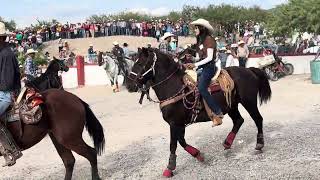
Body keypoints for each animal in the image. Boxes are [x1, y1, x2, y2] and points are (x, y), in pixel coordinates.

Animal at [126, 47, 272, 177]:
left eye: (140, 63)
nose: (129, 85)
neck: (174, 87)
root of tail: (249, 70)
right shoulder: (179, 124)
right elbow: (181, 141)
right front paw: (198, 155)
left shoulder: (174, 123)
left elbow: (173, 144)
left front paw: (169, 168)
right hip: (232, 106)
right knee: (238, 120)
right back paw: (227, 143)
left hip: (249, 102)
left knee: (258, 119)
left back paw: (259, 144)